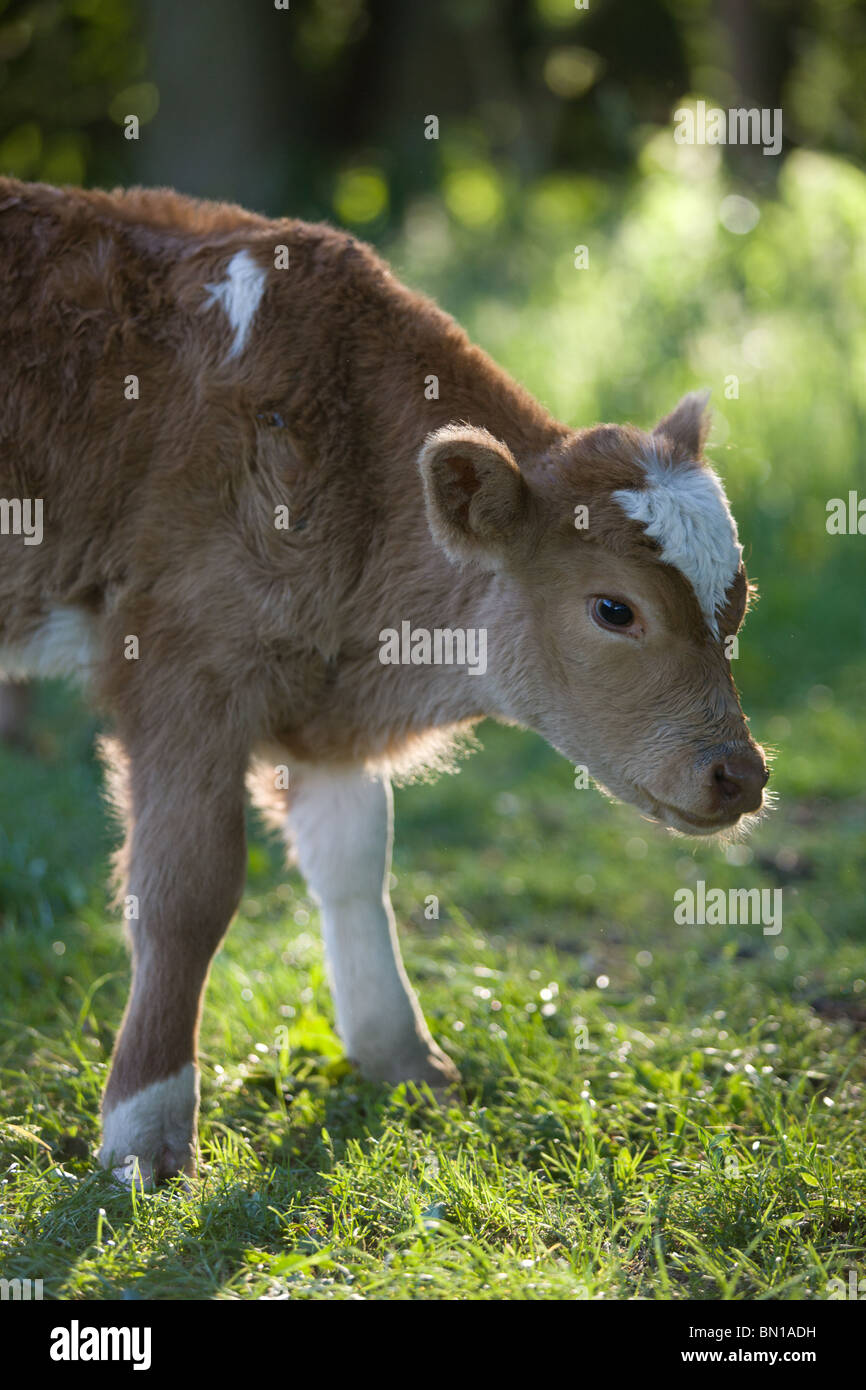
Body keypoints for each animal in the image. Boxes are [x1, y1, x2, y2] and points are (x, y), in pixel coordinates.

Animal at [0, 178, 768, 1184]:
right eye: (613, 608)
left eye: (739, 599)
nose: (740, 775)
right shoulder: (185, 665)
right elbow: (186, 890)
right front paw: (147, 1131)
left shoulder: (326, 705)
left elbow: (354, 865)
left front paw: (401, 1059)